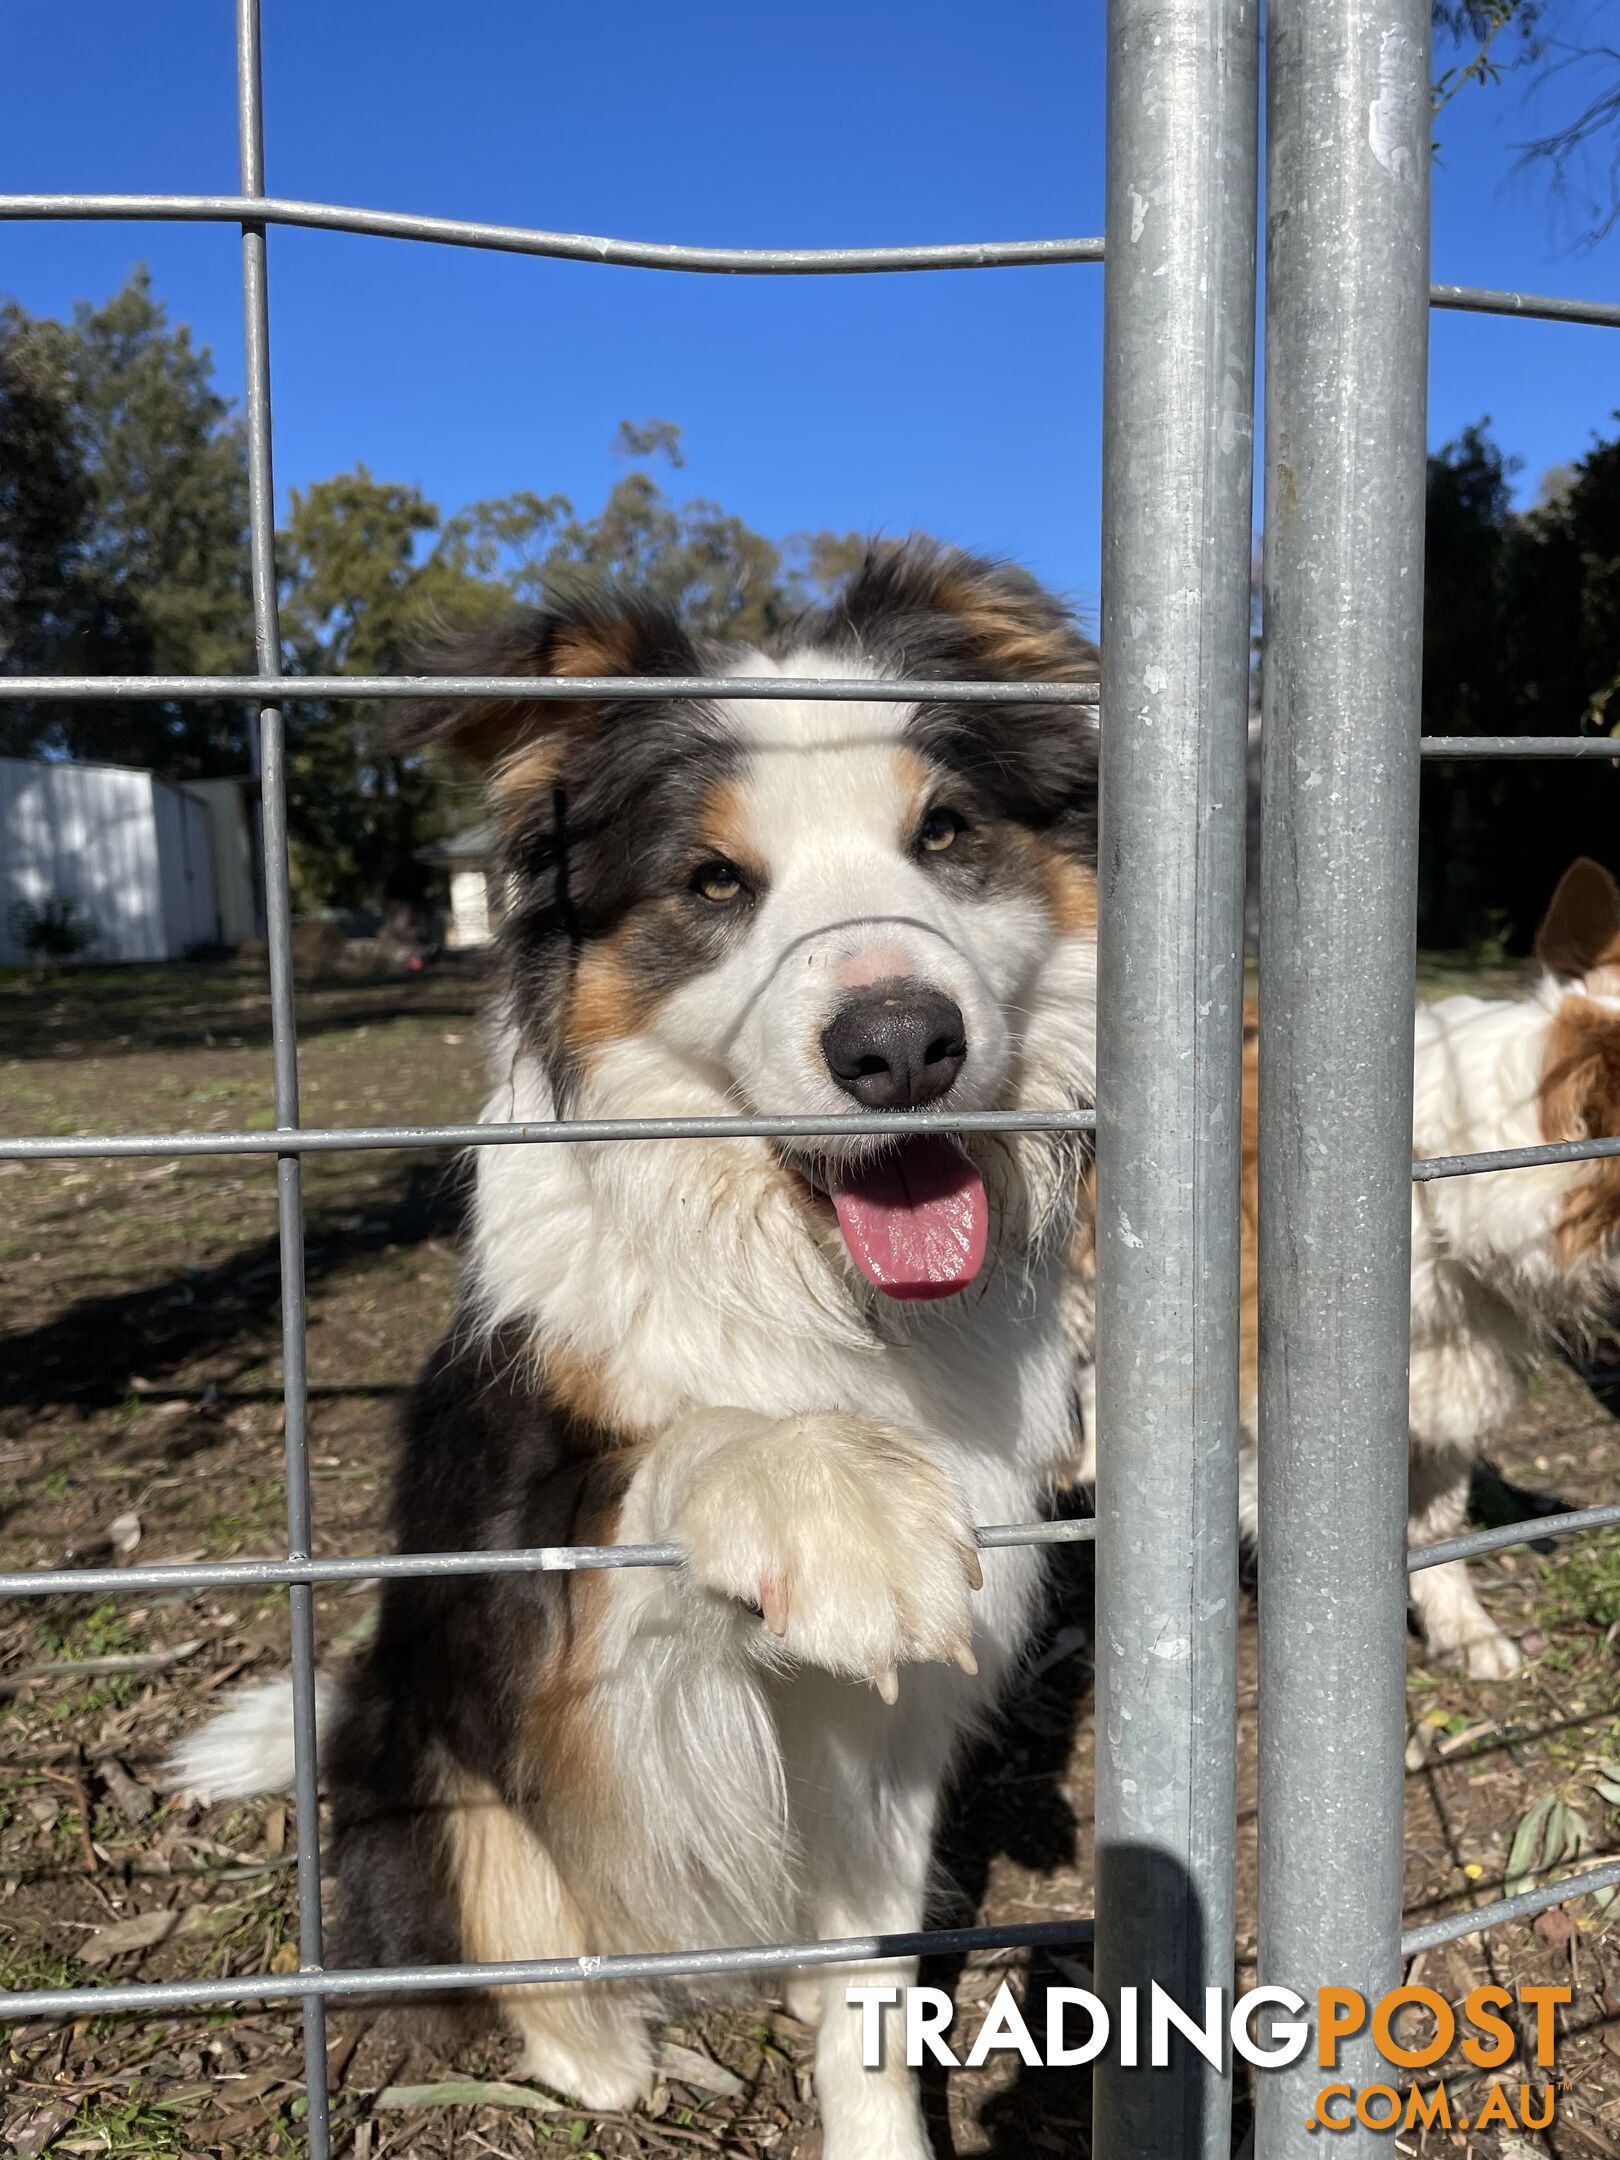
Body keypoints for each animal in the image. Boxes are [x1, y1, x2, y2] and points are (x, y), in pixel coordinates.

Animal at [171, 544, 1114, 2160]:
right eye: (714, 882)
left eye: (946, 834)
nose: (901, 1044)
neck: (808, 1278)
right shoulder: (534, 1582)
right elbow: (666, 1463)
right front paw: (831, 1501)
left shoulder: (889, 1736)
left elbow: (870, 1996)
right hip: (426, 1756)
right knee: (511, 1945)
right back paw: (604, 2046)